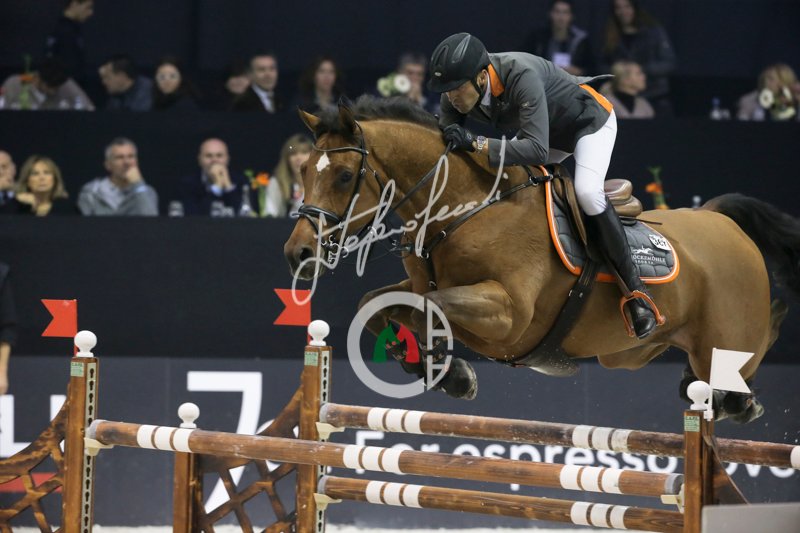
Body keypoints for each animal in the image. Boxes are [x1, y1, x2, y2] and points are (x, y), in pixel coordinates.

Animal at [284, 97, 800, 423]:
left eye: (345, 175)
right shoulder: (422, 286)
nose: (298, 253)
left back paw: (736, 400)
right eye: (304, 170)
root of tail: (721, 221)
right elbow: (375, 306)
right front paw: (438, 371)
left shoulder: (508, 314)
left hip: (726, 334)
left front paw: (451, 373)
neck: (465, 208)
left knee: (755, 342)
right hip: (628, 355)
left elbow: (433, 307)